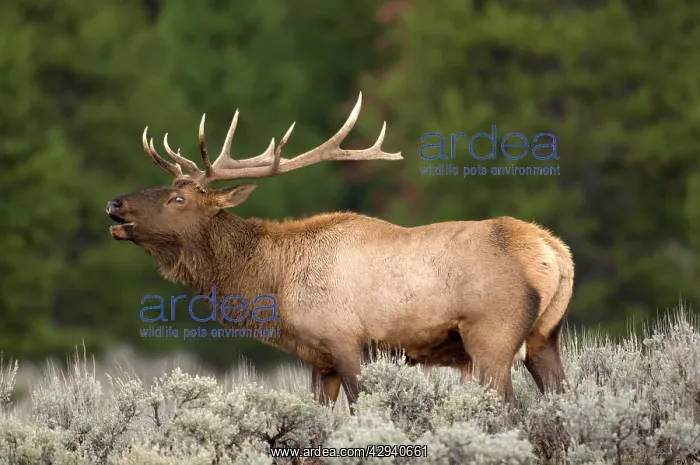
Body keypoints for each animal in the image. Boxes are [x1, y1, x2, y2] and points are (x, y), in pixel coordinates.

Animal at [106, 93, 574, 410]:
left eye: (178, 199)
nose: (115, 203)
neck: (273, 285)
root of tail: (553, 252)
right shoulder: (320, 360)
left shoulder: (346, 342)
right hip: (545, 337)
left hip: (491, 335)